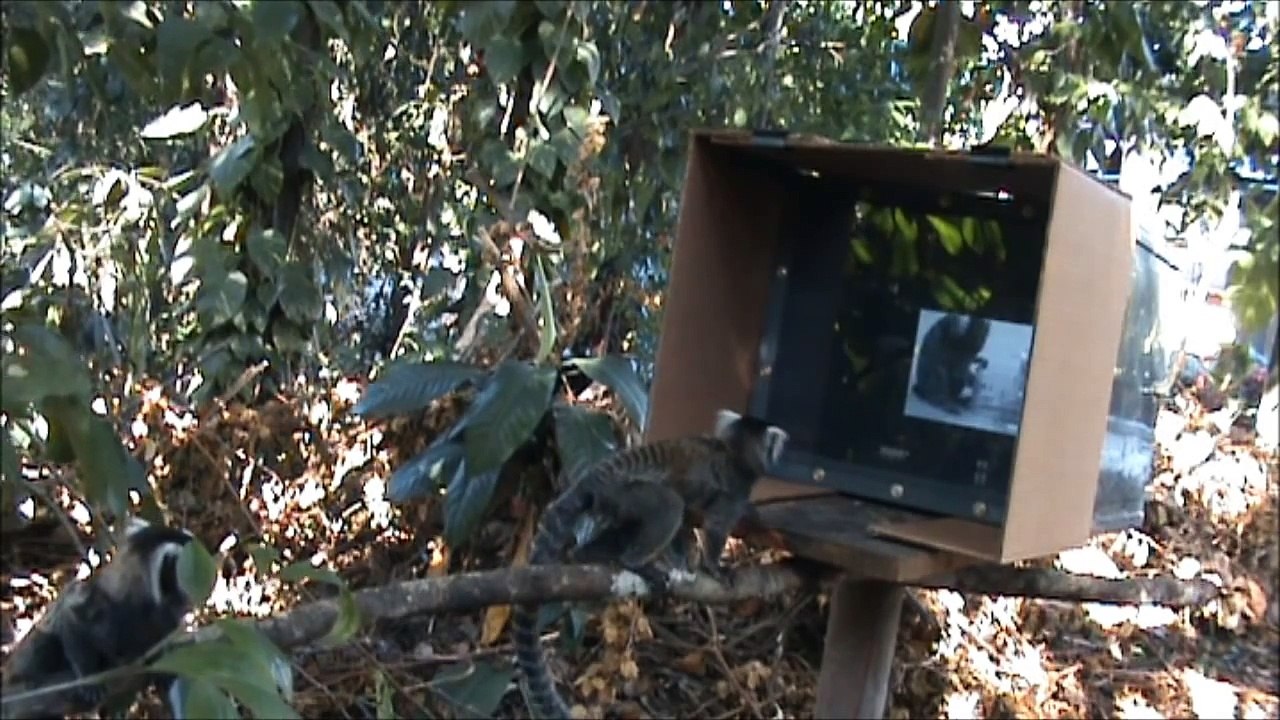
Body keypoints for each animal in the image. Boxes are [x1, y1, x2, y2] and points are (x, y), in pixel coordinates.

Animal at [512, 409, 789, 719]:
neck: (734, 451)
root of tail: (593, 478)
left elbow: (687, 521)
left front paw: (684, 562)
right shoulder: (734, 492)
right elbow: (713, 526)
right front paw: (714, 567)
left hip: (612, 501)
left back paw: (588, 555)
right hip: (627, 492)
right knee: (668, 505)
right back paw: (634, 562)